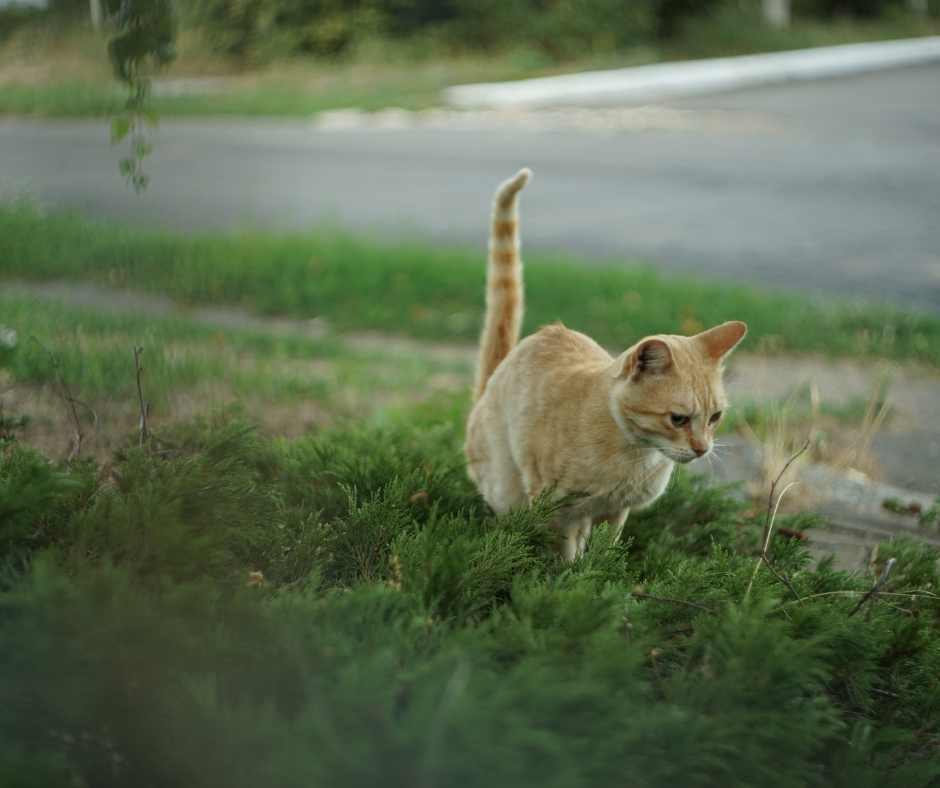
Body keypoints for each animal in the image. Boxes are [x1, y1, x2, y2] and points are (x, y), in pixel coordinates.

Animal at [466, 166, 744, 560]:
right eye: (678, 419)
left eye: (715, 417)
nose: (702, 449)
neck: (634, 454)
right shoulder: (558, 508)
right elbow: (563, 553)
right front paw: (567, 572)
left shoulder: (615, 511)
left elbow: (605, 553)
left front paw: (602, 569)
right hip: (507, 491)